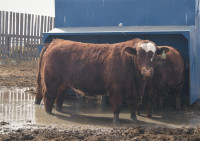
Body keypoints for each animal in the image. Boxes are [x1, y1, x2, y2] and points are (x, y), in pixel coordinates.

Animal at [35, 38, 168, 124]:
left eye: (155, 55)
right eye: (139, 55)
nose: (147, 71)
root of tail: (56, 41)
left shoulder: (135, 91)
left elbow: (133, 106)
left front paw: (134, 120)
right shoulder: (116, 91)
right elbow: (117, 107)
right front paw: (116, 122)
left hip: (62, 84)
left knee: (59, 97)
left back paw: (59, 109)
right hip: (51, 82)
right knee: (49, 96)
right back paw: (49, 113)